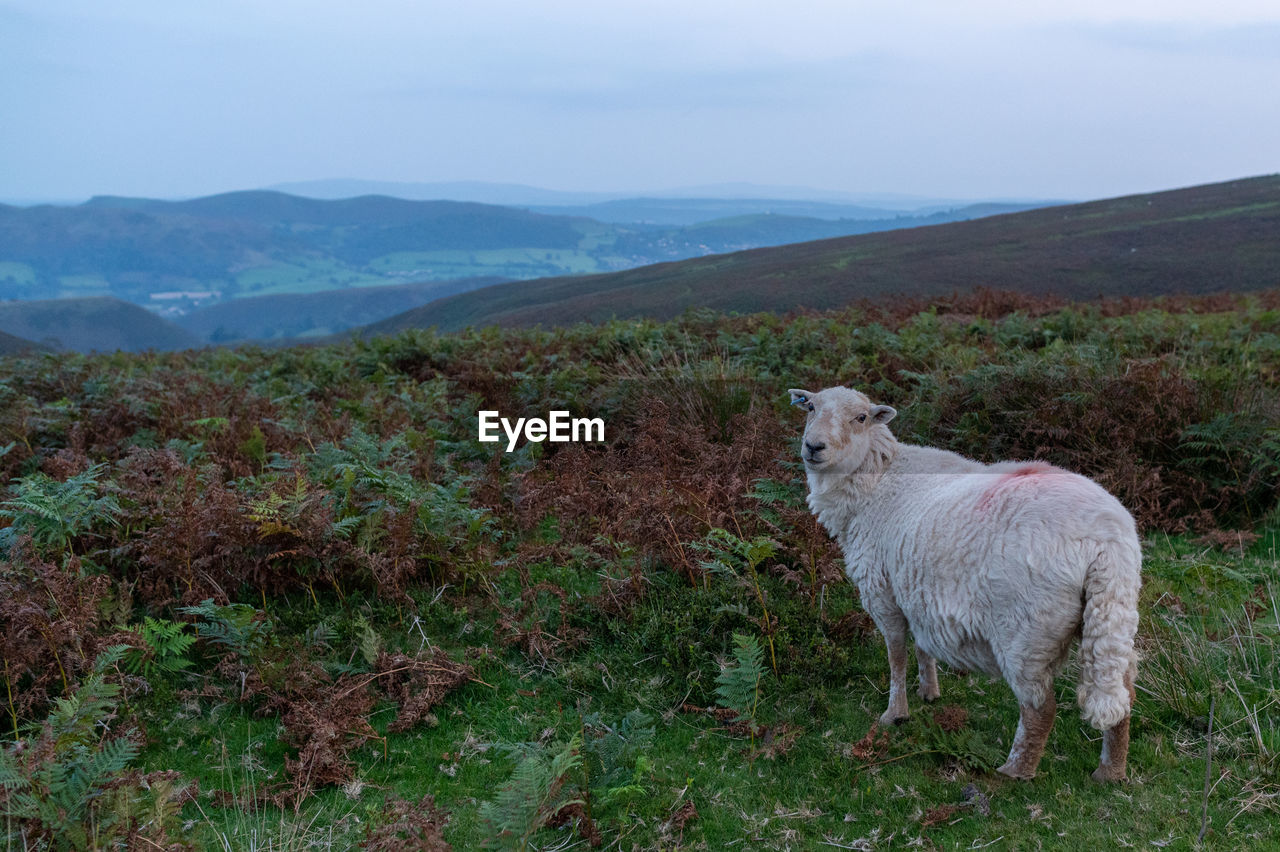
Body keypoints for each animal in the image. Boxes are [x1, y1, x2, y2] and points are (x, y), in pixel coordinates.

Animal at [788, 383, 1141, 777]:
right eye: (810, 407)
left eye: (861, 418)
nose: (813, 447)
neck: (877, 479)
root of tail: (1105, 541)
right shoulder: (917, 589)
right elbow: (922, 646)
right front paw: (929, 692)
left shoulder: (882, 591)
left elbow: (896, 655)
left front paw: (895, 714)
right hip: (1111, 615)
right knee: (1123, 694)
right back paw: (1110, 772)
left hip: (1027, 631)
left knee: (1039, 709)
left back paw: (1014, 772)